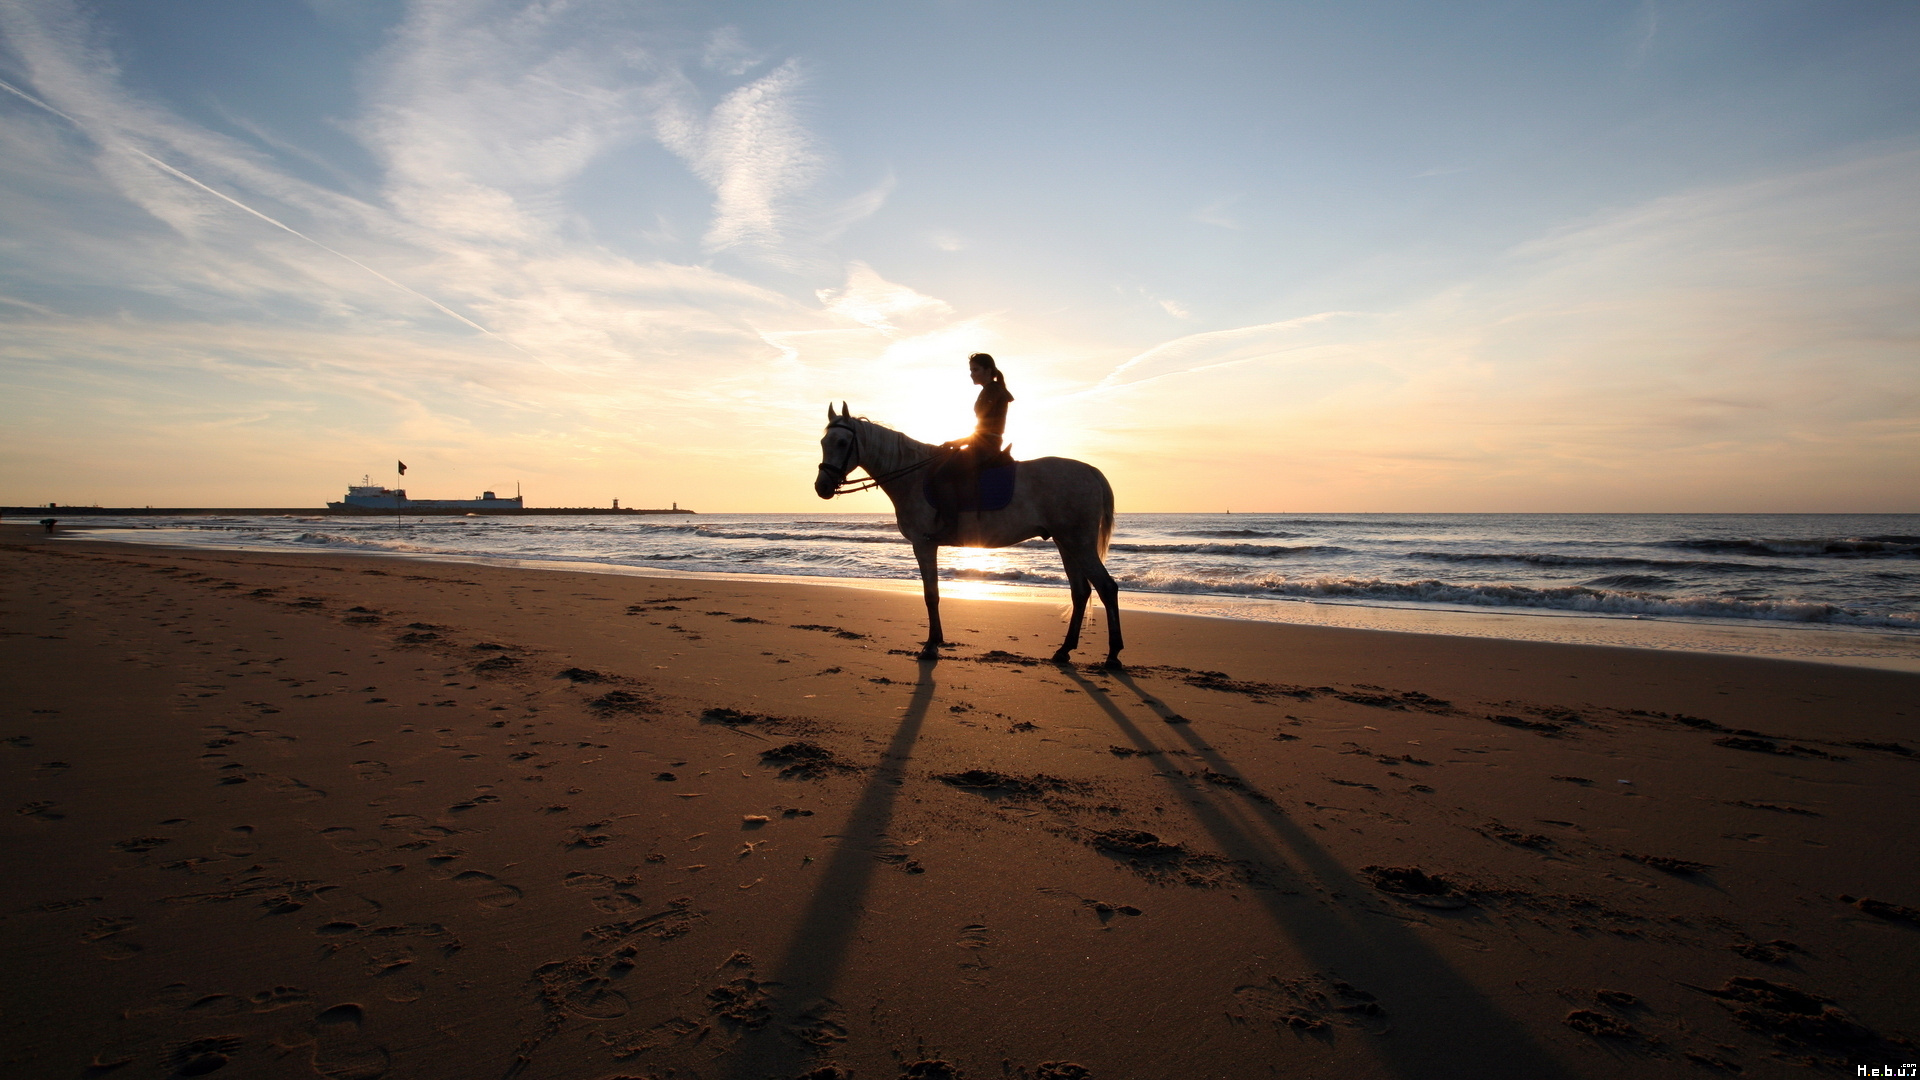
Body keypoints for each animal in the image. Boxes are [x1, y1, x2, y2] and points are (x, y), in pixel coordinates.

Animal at [814, 403, 1121, 664]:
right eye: (823, 443)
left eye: (842, 443)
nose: (822, 487)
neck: (912, 476)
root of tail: (1091, 471)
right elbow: (933, 594)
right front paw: (935, 641)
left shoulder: (923, 544)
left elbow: (931, 595)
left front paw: (931, 645)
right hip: (1065, 543)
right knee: (1080, 592)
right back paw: (1064, 650)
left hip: (1078, 543)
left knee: (1106, 587)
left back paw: (1113, 655)